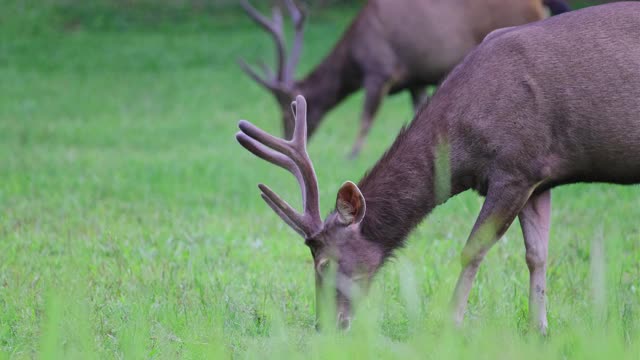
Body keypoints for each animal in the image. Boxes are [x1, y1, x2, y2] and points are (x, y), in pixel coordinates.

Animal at [238, 0, 568, 158]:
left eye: (289, 109)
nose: (285, 132)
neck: (354, 58)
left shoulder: (379, 70)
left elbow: (366, 117)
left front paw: (352, 154)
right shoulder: (416, 79)